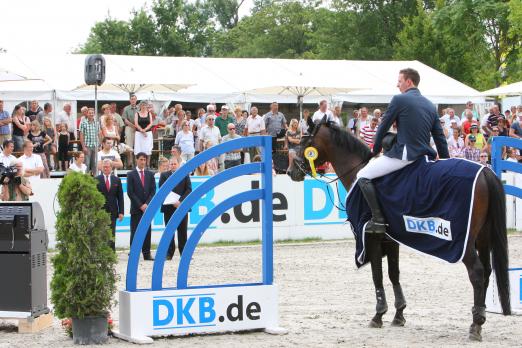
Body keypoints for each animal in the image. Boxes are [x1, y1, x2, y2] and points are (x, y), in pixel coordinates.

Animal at [284, 118, 508, 342]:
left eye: (305, 142)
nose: (290, 171)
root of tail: (486, 171)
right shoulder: (391, 239)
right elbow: (394, 274)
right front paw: (399, 314)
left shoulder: (371, 237)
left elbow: (377, 275)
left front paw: (378, 315)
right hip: (483, 237)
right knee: (487, 271)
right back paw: (481, 315)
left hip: (465, 242)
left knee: (477, 272)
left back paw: (476, 324)